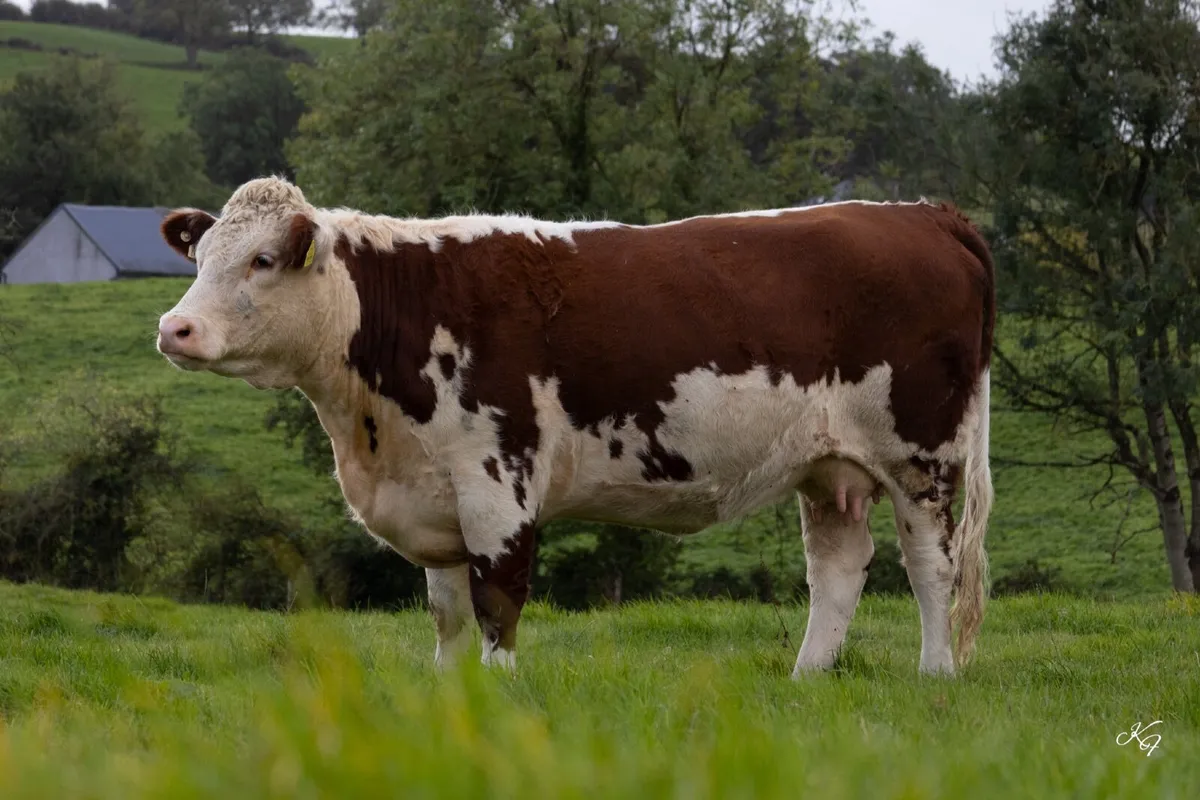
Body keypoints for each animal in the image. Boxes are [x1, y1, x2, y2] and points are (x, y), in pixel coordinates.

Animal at [156, 176, 995, 677]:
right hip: (827, 465)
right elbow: (446, 609)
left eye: (263, 260)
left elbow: (497, 601)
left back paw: (935, 675)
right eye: (200, 255)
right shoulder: (432, 489)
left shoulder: (496, 481)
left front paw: (496, 694)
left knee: (932, 564)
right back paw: (806, 678)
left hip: (922, 452)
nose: (175, 328)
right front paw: (445, 698)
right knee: (840, 565)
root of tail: (924, 213)